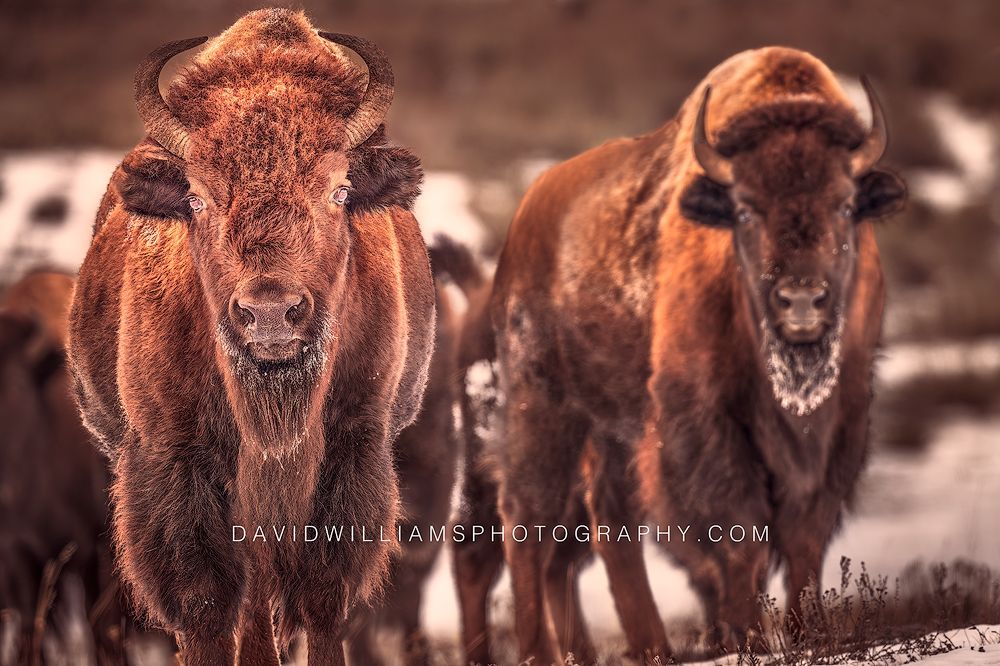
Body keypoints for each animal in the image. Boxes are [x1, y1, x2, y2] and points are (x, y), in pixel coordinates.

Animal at [67, 9, 434, 665]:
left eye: (340, 191)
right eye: (196, 197)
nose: (270, 314)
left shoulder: (354, 448)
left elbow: (323, 596)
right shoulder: (173, 462)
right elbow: (207, 605)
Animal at [467, 47, 905, 663]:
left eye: (845, 206)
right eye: (745, 210)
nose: (801, 300)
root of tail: (526, 217)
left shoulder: (840, 423)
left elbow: (806, 535)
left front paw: (809, 635)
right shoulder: (705, 424)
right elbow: (739, 532)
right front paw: (750, 637)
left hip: (613, 428)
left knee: (609, 525)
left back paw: (653, 647)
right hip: (544, 406)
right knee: (527, 518)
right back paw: (539, 652)